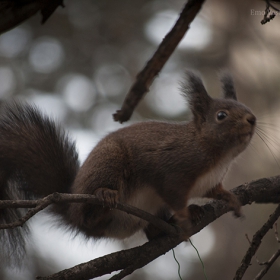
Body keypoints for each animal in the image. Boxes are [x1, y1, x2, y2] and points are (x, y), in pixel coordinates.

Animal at [0, 70, 256, 264]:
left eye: (244, 106)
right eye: (221, 115)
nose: (252, 119)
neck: (219, 156)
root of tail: (71, 206)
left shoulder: (210, 182)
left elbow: (216, 192)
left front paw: (231, 200)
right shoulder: (172, 172)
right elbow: (172, 193)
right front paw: (183, 219)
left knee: (152, 232)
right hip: (109, 165)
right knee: (89, 216)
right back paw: (104, 196)